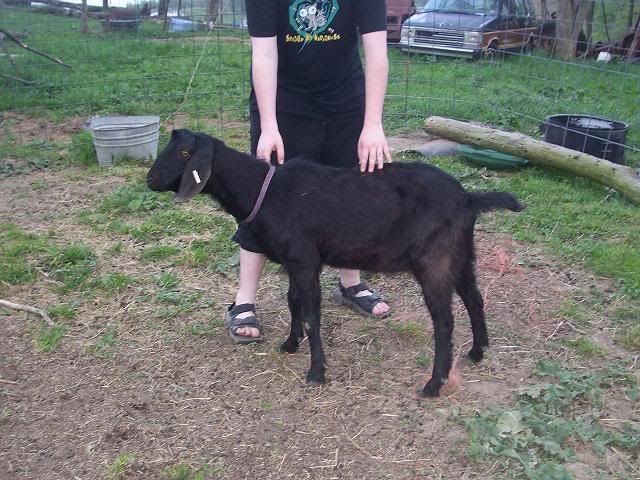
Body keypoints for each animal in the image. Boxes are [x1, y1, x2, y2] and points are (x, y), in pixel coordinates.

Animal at [146, 129, 524, 397]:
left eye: (184, 153)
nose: (150, 180)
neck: (264, 192)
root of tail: (468, 198)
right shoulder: (296, 261)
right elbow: (294, 302)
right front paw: (290, 344)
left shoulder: (304, 260)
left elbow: (312, 315)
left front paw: (316, 373)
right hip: (461, 254)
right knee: (474, 299)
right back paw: (477, 351)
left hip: (434, 260)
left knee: (444, 321)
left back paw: (434, 384)